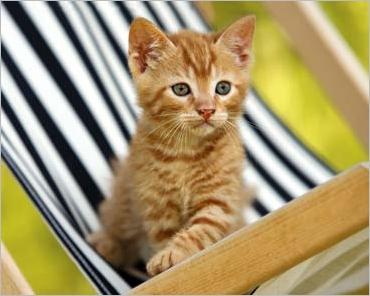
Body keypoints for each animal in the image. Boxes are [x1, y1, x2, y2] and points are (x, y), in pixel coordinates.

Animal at [88, 15, 256, 276]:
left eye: (223, 88)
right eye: (181, 89)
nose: (207, 110)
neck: (185, 152)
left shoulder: (221, 198)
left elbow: (201, 229)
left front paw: (174, 254)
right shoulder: (156, 204)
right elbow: (163, 236)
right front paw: (165, 259)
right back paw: (108, 244)